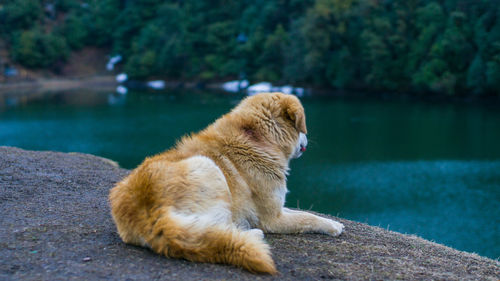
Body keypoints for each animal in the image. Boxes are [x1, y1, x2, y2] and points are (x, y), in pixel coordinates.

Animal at [109, 92, 344, 274]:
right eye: (302, 127)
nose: (307, 140)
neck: (257, 138)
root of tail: (148, 210)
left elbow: (303, 213)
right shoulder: (273, 218)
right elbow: (308, 217)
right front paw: (333, 225)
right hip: (209, 168)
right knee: (218, 231)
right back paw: (251, 234)